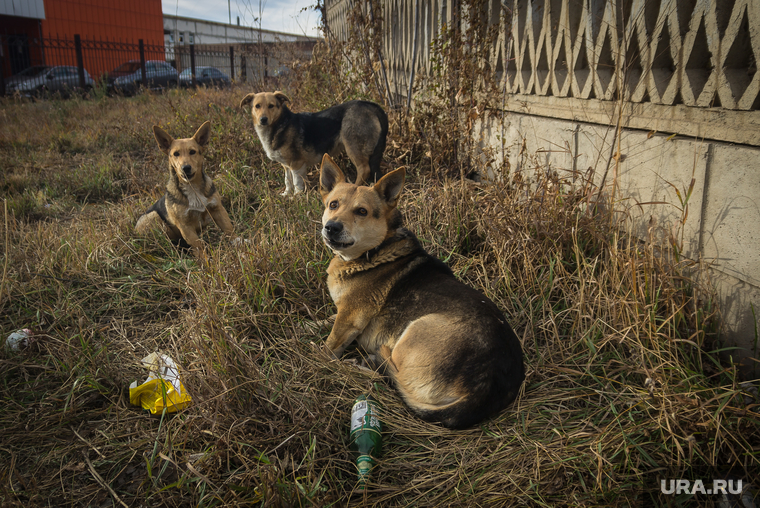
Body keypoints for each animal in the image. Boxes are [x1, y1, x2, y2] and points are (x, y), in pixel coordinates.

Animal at [240, 91, 388, 194]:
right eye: (257, 106)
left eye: (271, 106)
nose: (263, 119)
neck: (280, 125)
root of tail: (372, 106)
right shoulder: (286, 166)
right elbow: (288, 181)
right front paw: (286, 195)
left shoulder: (296, 164)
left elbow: (297, 182)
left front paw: (296, 197)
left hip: (353, 147)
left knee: (364, 169)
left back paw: (354, 188)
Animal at [318, 155, 524, 428]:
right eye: (333, 204)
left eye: (361, 211)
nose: (331, 227)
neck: (374, 252)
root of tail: (483, 392)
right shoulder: (342, 311)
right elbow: (326, 319)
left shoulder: (349, 319)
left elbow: (328, 347)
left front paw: (315, 357)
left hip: (415, 330)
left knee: (393, 376)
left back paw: (366, 363)